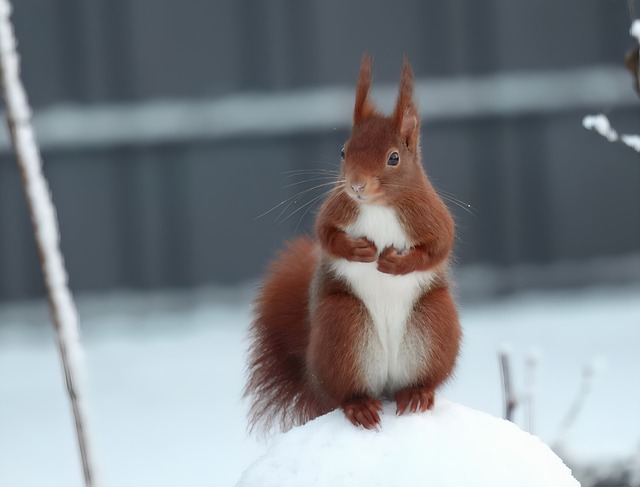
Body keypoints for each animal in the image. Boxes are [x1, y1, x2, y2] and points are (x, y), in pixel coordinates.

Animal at [244, 55, 460, 432]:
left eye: (393, 157)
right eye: (343, 151)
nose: (356, 185)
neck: (378, 206)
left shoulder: (432, 216)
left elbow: (438, 246)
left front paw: (396, 263)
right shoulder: (335, 208)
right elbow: (325, 235)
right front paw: (358, 250)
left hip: (434, 321)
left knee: (420, 379)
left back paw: (417, 393)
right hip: (342, 326)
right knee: (347, 392)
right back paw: (359, 406)